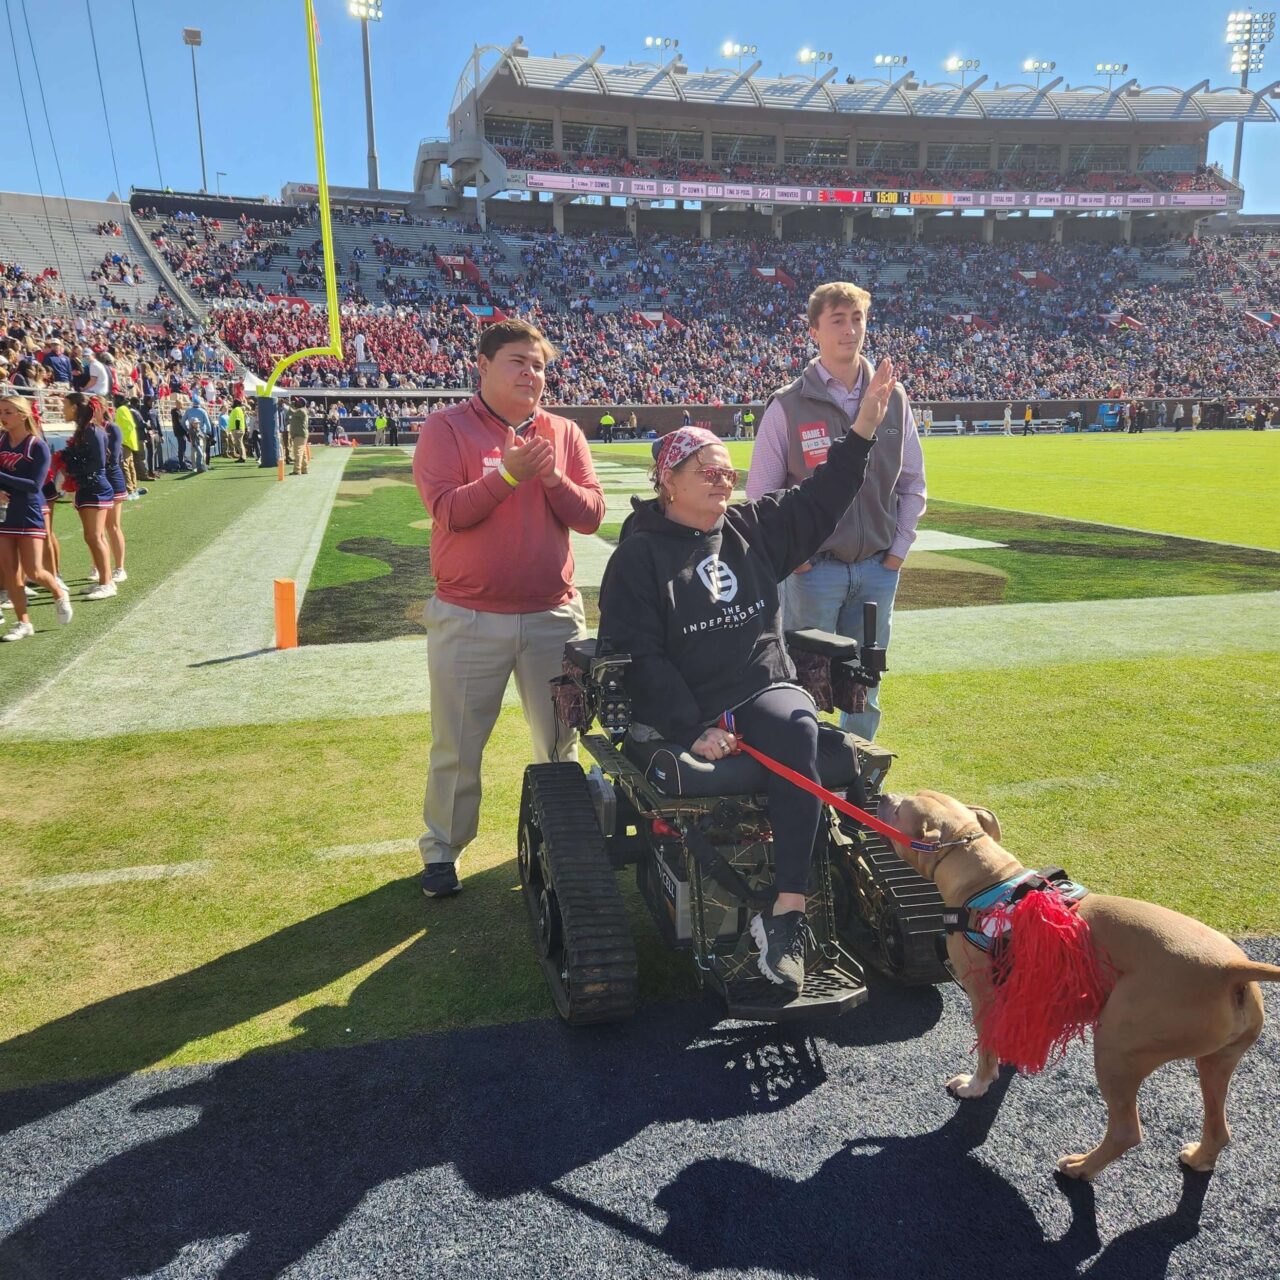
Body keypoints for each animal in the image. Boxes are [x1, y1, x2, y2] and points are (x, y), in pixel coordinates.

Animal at [880, 788, 1280, 1177]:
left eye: (901, 808)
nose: (883, 796)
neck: (986, 878)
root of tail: (1231, 968)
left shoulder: (984, 996)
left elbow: (986, 1049)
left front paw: (976, 1085)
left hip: (1118, 1046)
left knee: (1126, 1130)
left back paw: (1080, 1168)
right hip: (1216, 1061)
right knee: (1219, 1127)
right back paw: (1199, 1158)